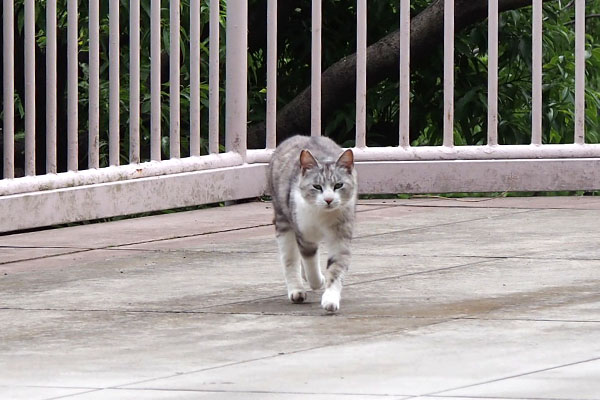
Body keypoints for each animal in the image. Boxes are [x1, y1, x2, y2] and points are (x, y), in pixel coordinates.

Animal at [268, 134, 356, 312]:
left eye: (338, 185)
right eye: (317, 186)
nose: (328, 199)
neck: (323, 216)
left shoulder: (341, 235)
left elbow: (336, 267)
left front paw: (330, 299)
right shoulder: (304, 233)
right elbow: (309, 261)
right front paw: (317, 281)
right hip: (283, 219)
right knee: (290, 259)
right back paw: (296, 290)